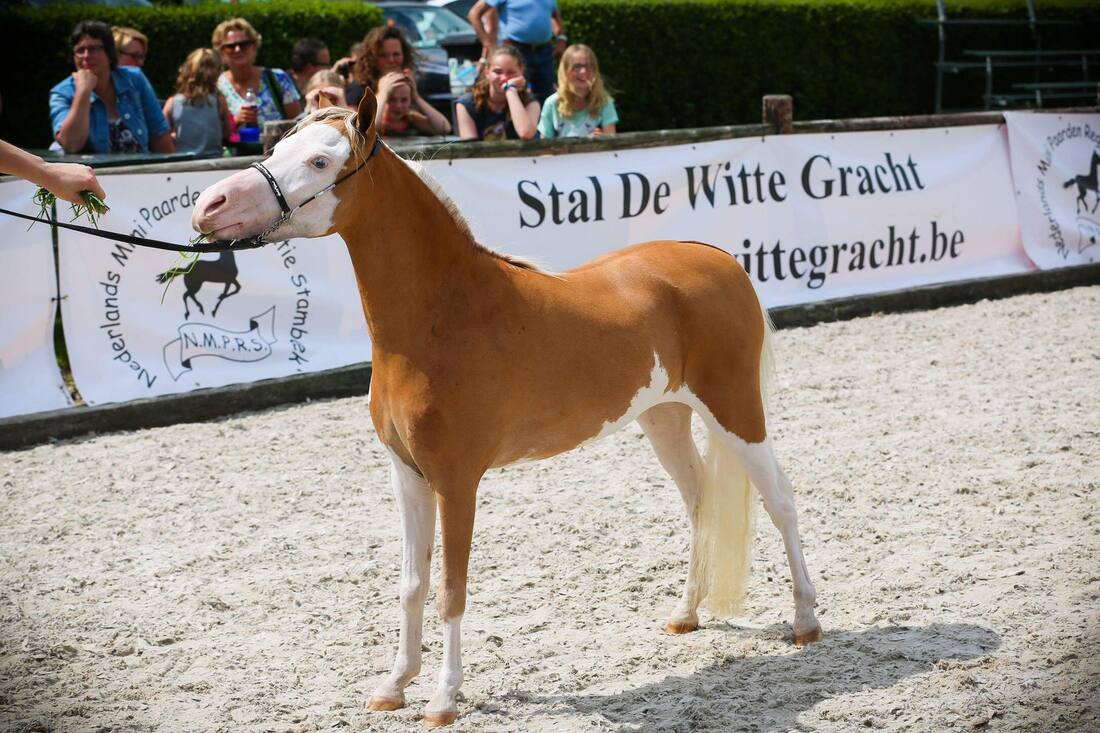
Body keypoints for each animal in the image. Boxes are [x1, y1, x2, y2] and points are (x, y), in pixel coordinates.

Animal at [191, 92, 822, 727]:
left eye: (320, 161)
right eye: (277, 147)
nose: (208, 206)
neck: (444, 317)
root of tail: (719, 259)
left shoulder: (456, 481)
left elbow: (452, 587)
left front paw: (443, 698)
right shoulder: (407, 476)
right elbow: (412, 582)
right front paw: (394, 685)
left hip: (736, 410)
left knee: (781, 501)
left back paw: (805, 622)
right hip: (664, 417)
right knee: (699, 503)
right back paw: (685, 615)